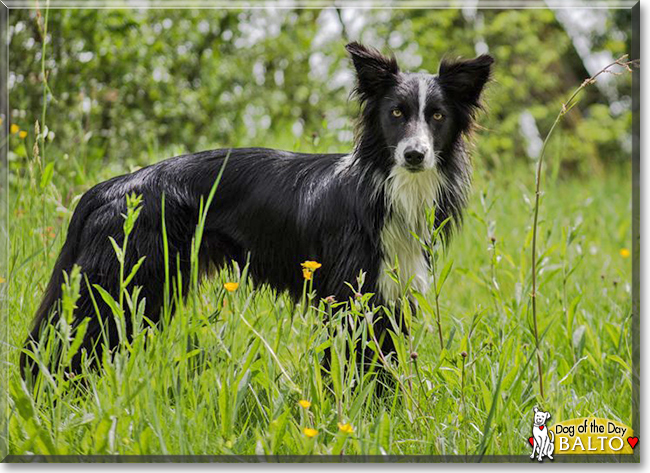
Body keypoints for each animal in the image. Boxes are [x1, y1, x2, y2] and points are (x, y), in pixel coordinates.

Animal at [19, 42, 492, 378]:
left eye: (437, 116)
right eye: (396, 113)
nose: (414, 155)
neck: (385, 191)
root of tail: (107, 188)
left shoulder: (388, 300)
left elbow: (381, 370)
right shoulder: (347, 299)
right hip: (120, 286)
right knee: (57, 350)